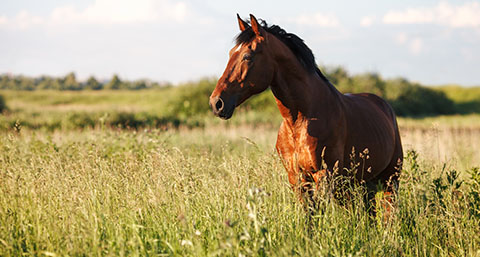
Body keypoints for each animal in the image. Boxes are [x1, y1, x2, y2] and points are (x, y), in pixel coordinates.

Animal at [208, 13, 404, 210]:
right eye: (231, 53)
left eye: (247, 56)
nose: (217, 103)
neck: (301, 120)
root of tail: (384, 106)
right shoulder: (297, 178)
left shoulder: (324, 175)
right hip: (362, 184)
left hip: (389, 180)